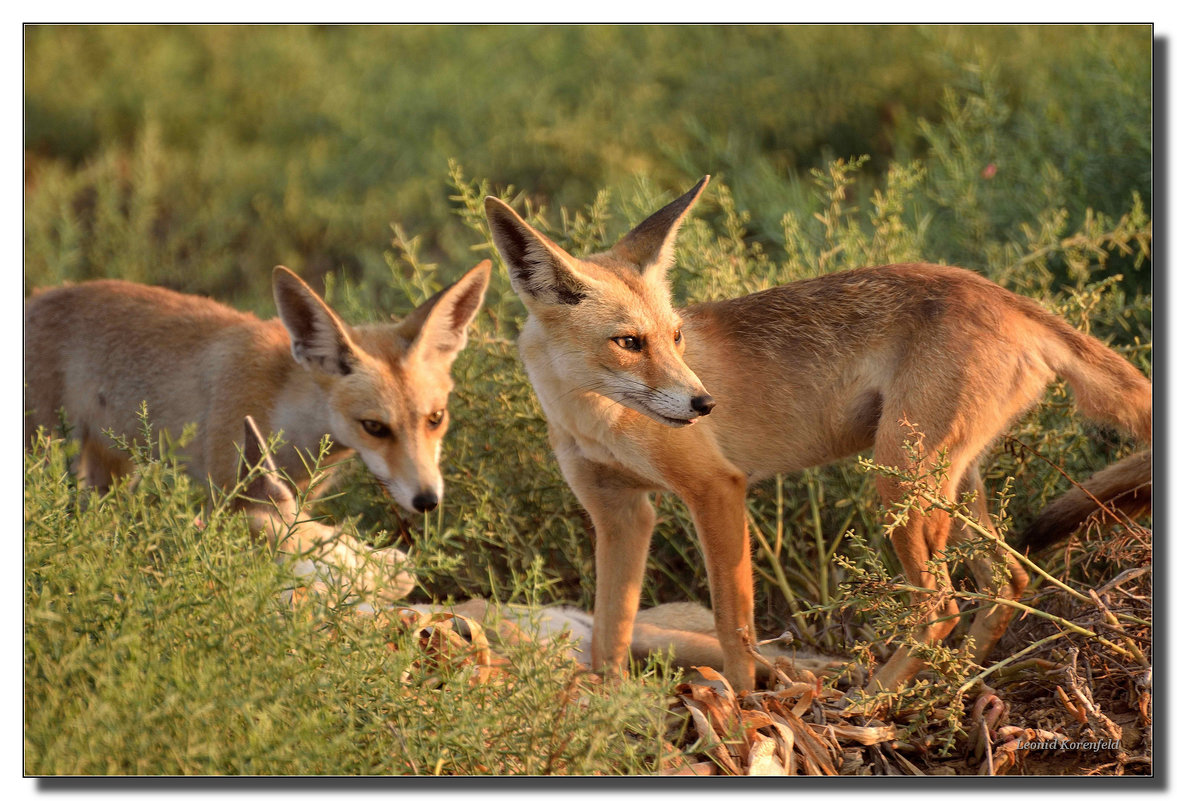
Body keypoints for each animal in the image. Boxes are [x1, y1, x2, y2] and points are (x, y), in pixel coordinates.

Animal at [24, 258, 491, 515]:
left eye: (436, 418)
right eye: (374, 427)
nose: (427, 501)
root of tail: (36, 296)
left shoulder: (296, 500)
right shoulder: (225, 492)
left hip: (115, 471)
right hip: (48, 454)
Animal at [484, 177, 1148, 691]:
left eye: (675, 336)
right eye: (628, 342)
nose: (705, 403)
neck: (594, 420)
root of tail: (1004, 294)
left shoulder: (715, 489)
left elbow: (734, 627)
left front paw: (742, 713)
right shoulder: (621, 512)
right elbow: (609, 633)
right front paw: (612, 708)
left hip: (900, 484)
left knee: (941, 605)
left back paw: (874, 700)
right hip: (950, 488)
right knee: (1007, 582)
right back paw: (951, 686)